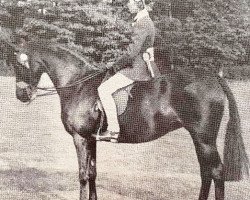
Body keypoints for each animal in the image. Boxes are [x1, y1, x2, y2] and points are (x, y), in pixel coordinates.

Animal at [2, 39, 249, 200]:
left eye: (20, 64)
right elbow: (93, 173)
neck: (78, 84)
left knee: (216, 172)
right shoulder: (92, 139)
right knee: (206, 172)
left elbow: (82, 175)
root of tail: (212, 76)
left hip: (204, 139)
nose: (21, 95)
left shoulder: (80, 138)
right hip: (199, 139)